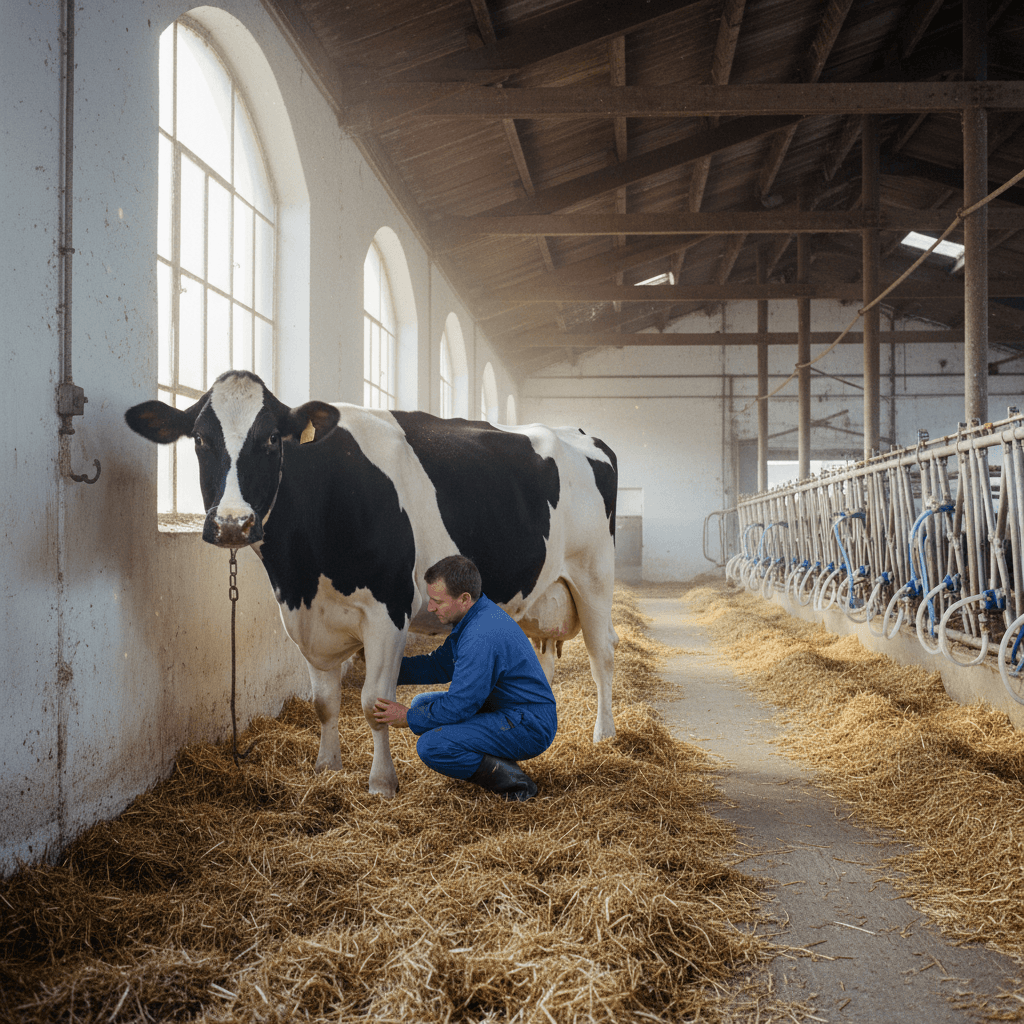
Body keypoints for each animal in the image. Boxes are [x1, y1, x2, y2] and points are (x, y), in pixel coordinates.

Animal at [125, 370, 618, 797]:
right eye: (200, 440)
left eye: (271, 439)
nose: (232, 524)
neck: (301, 575)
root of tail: (580, 433)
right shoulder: (308, 619)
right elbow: (325, 702)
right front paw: (327, 767)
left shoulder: (389, 609)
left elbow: (374, 702)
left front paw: (382, 783)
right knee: (544, 657)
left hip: (594, 575)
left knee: (603, 655)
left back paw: (604, 735)